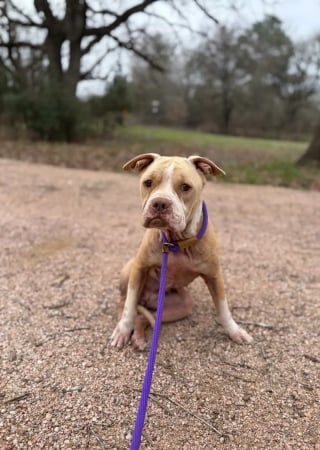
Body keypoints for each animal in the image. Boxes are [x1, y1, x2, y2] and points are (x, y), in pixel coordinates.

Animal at [110, 155, 252, 352]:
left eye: (186, 187)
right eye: (148, 182)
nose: (160, 203)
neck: (177, 242)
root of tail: (147, 299)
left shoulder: (214, 276)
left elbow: (223, 309)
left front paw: (235, 331)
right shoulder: (139, 268)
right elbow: (129, 306)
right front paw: (123, 329)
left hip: (180, 306)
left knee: (144, 317)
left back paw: (138, 336)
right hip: (128, 270)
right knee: (123, 302)